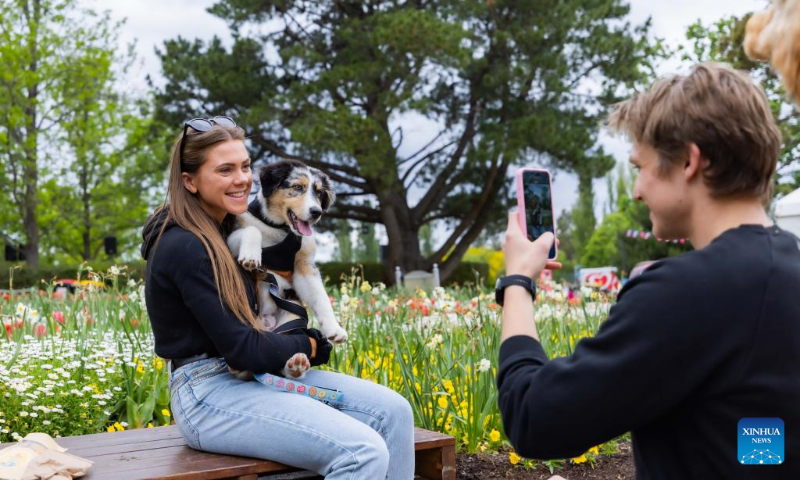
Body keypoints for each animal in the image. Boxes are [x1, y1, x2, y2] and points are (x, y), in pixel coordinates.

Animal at [227, 160, 348, 378]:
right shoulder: (232, 236)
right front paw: (251, 256)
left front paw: (335, 329)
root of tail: (267, 324)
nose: (316, 212)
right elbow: (253, 229)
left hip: (292, 317)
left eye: (319, 193)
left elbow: (321, 297)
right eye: (298, 187)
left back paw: (296, 366)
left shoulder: (304, 265)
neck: (280, 229)